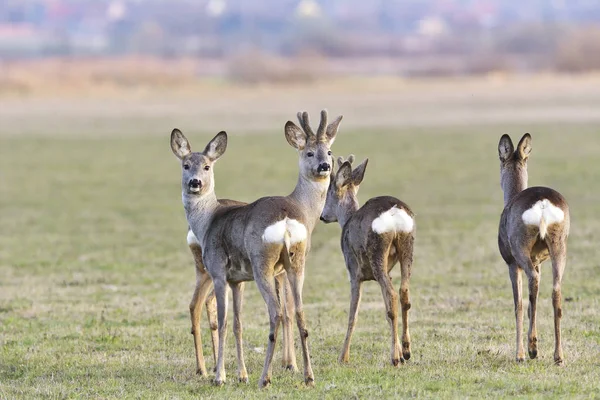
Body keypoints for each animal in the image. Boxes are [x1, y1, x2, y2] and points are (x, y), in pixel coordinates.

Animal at [173, 110, 342, 388]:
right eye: (185, 165)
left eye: (328, 151)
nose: (195, 182)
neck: (207, 220)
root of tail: (285, 221)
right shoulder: (238, 280)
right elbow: (239, 323)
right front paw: (241, 374)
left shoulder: (220, 273)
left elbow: (227, 321)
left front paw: (222, 377)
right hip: (296, 265)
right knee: (299, 312)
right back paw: (308, 376)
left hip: (257, 265)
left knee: (272, 313)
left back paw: (259, 377)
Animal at [322, 155, 414, 366]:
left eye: (328, 192)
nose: (322, 216)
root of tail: (394, 213)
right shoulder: (388, 271)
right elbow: (387, 312)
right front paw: (399, 351)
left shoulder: (353, 272)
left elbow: (353, 315)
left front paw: (343, 357)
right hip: (407, 248)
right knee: (403, 293)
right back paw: (405, 351)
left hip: (377, 253)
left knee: (393, 295)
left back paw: (395, 358)